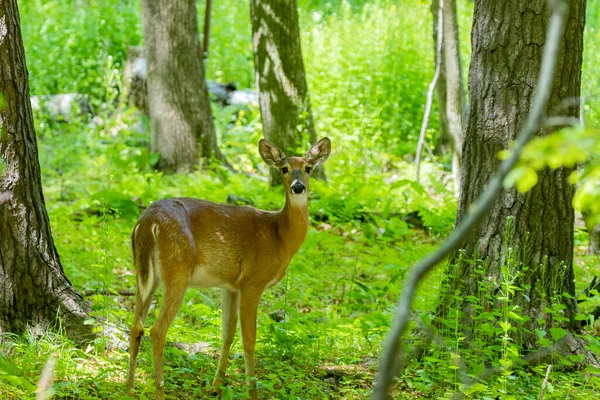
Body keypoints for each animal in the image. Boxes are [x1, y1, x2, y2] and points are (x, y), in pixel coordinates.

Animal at [127, 138, 332, 400]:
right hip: (177, 271)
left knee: (136, 327)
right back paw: (159, 391)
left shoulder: (231, 285)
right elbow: (249, 339)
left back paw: (129, 388)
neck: (279, 235)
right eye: (284, 169)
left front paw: (216, 387)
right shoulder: (252, 282)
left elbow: (227, 334)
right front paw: (252, 392)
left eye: (308, 168)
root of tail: (147, 221)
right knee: (157, 330)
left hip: (144, 274)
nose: (298, 187)